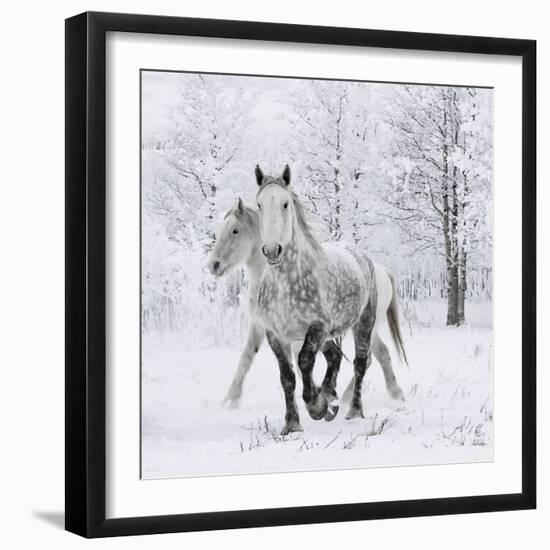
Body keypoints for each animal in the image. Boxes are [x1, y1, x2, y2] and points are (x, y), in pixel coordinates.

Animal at [256, 165, 410, 436]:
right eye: (259, 204)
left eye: (285, 203)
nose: (273, 250)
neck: (287, 284)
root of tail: (366, 259)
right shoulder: (275, 334)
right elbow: (287, 377)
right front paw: (292, 424)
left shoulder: (317, 327)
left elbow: (304, 362)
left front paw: (316, 406)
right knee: (336, 356)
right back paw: (333, 398)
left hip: (363, 324)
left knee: (361, 362)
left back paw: (353, 409)